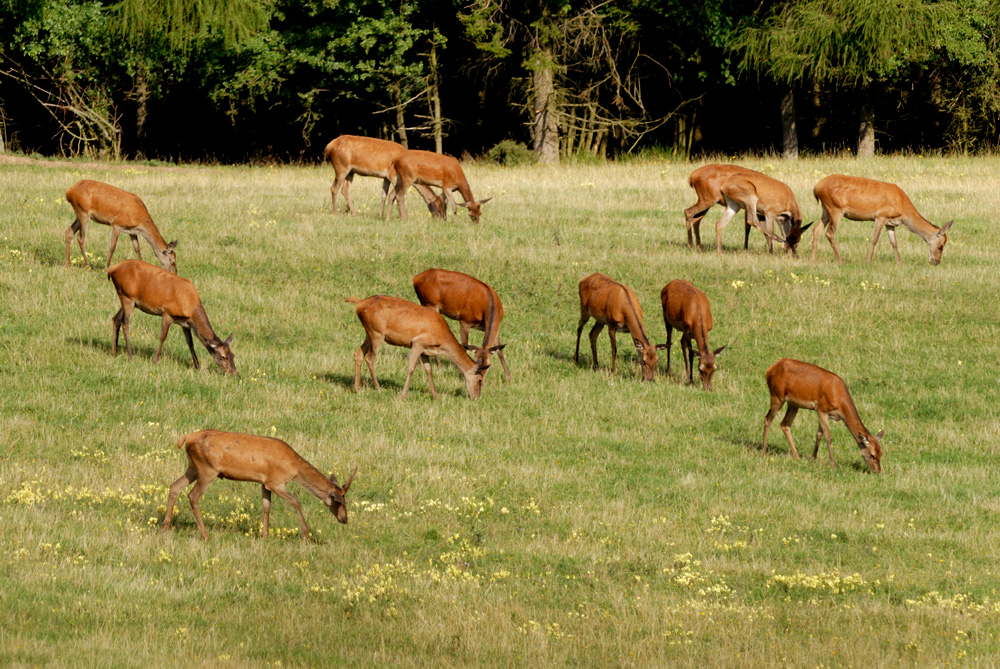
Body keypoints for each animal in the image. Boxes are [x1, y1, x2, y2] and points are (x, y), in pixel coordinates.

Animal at [106, 258, 237, 374]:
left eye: (233, 355)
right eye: (223, 357)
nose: (234, 373)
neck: (191, 308)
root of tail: (112, 269)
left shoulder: (185, 322)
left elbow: (190, 342)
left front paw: (197, 365)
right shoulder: (167, 313)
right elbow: (162, 336)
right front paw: (155, 360)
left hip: (129, 300)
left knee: (115, 319)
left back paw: (114, 352)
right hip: (127, 296)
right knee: (125, 324)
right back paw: (129, 357)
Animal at [161, 430, 356, 540]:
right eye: (340, 501)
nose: (345, 519)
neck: (295, 467)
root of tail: (186, 438)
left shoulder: (264, 482)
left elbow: (266, 506)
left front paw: (265, 536)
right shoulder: (276, 481)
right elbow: (296, 502)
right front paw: (306, 535)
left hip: (193, 467)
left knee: (174, 486)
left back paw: (165, 525)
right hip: (207, 469)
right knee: (193, 496)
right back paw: (205, 535)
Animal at [346, 294, 490, 400]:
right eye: (480, 380)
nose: (476, 397)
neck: (441, 339)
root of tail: (360, 303)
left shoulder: (425, 350)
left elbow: (428, 370)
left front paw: (436, 396)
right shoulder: (417, 342)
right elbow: (411, 368)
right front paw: (403, 395)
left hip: (369, 333)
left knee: (358, 353)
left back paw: (357, 388)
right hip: (377, 333)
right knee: (370, 358)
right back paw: (378, 389)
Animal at [756, 358, 884, 472]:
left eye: (881, 453)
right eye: (872, 455)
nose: (877, 471)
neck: (839, 401)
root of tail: (769, 369)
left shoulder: (824, 413)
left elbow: (819, 434)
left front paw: (813, 458)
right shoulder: (822, 409)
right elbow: (828, 437)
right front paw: (833, 465)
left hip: (793, 403)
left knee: (785, 424)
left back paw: (797, 455)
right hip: (777, 395)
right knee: (767, 419)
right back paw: (763, 452)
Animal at [812, 172, 952, 264]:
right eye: (941, 246)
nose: (936, 262)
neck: (903, 207)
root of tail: (816, 187)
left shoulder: (890, 222)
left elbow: (894, 242)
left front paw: (899, 263)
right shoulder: (881, 215)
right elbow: (874, 239)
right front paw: (868, 261)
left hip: (826, 209)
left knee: (816, 229)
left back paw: (812, 259)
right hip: (835, 208)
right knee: (830, 233)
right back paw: (840, 261)